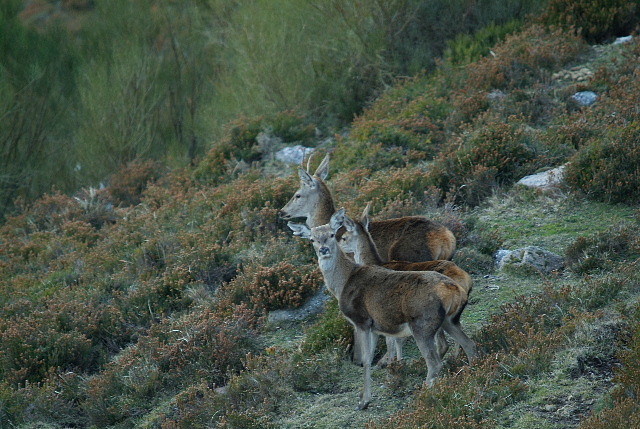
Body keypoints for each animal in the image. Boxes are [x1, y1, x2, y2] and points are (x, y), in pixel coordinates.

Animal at [332, 204, 472, 364]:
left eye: (344, 237)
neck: (376, 262)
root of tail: (464, 282)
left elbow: (392, 341)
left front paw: (395, 363)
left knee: (443, 344)